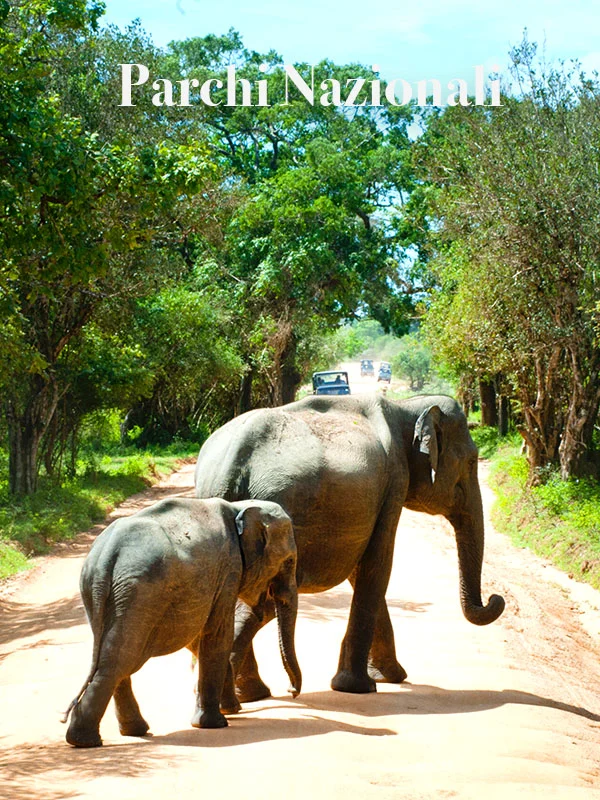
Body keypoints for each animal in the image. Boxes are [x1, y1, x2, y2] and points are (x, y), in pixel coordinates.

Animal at [62, 497, 301, 748]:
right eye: (289, 561)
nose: (292, 691)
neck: (239, 507)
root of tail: (106, 556)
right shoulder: (229, 569)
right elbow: (217, 634)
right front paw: (215, 722)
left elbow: (199, 637)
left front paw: (230, 709)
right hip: (140, 593)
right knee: (120, 660)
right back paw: (86, 740)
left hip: (103, 592)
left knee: (114, 655)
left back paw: (125, 732)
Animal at [194, 393, 505, 700]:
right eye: (472, 462)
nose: (495, 598)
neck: (405, 406)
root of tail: (227, 467)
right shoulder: (394, 481)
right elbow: (377, 565)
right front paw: (359, 686)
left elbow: (362, 570)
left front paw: (389, 676)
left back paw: (247, 695)